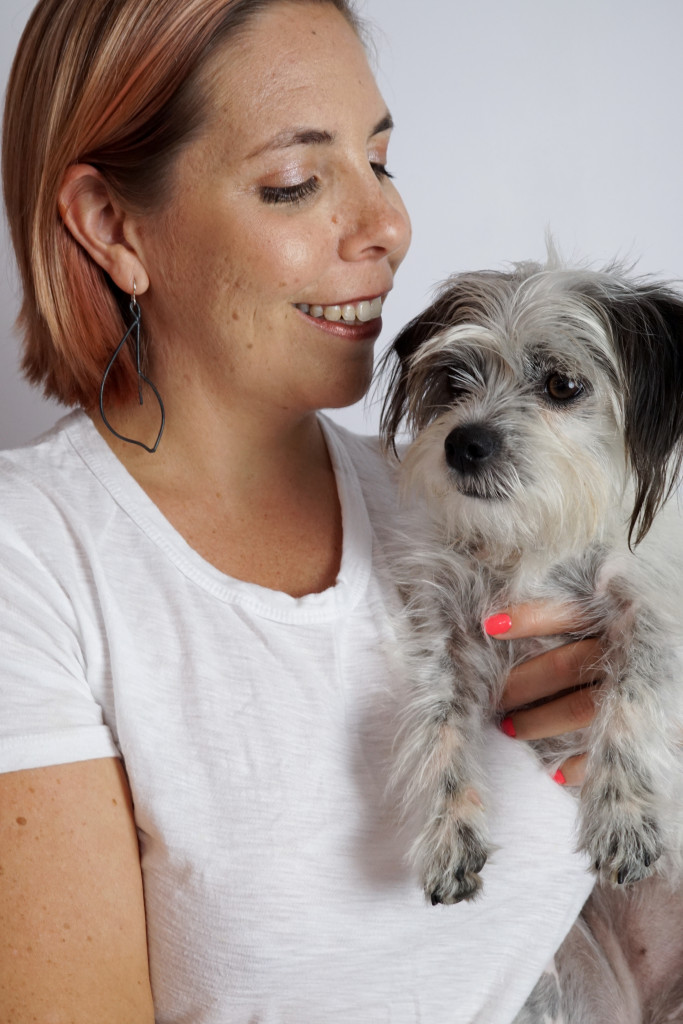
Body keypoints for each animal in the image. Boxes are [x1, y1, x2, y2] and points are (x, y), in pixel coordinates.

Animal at [378, 251, 683, 909]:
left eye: (562, 385)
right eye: (454, 380)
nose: (463, 442)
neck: (530, 540)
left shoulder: (652, 608)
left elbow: (635, 691)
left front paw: (623, 815)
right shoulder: (447, 633)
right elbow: (436, 719)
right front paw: (449, 832)